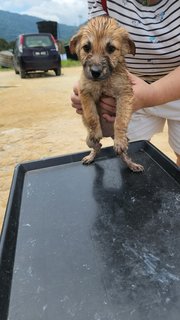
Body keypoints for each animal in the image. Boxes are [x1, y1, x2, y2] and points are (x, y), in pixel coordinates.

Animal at [70, 16, 143, 172]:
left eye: (111, 49)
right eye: (86, 48)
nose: (95, 72)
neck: (103, 81)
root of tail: (108, 136)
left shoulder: (124, 93)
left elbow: (120, 119)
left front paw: (120, 138)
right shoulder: (85, 92)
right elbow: (91, 116)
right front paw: (96, 131)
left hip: (123, 146)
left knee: (122, 154)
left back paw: (132, 164)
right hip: (88, 141)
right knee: (98, 146)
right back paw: (91, 156)